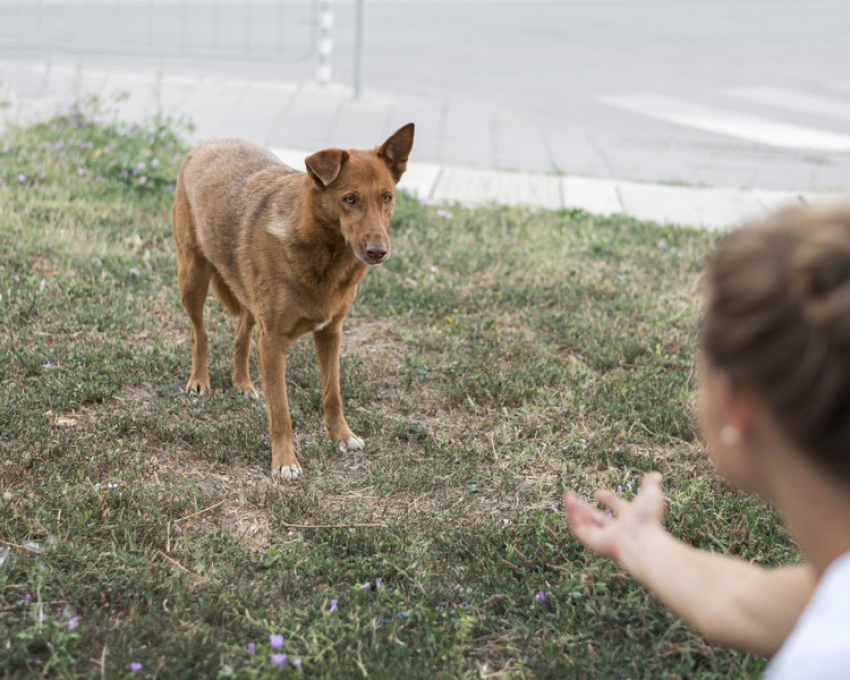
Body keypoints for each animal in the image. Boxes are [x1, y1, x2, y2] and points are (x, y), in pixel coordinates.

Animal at [170, 125, 414, 480]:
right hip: (191, 278)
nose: (378, 252)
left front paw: (341, 436)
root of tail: (209, 142)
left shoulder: (330, 333)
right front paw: (285, 461)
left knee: (242, 331)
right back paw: (200, 380)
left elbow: (332, 394)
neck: (325, 254)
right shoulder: (273, 343)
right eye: (350, 199)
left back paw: (242, 382)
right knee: (198, 332)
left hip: (247, 297)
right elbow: (280, 410)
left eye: (387, 197)